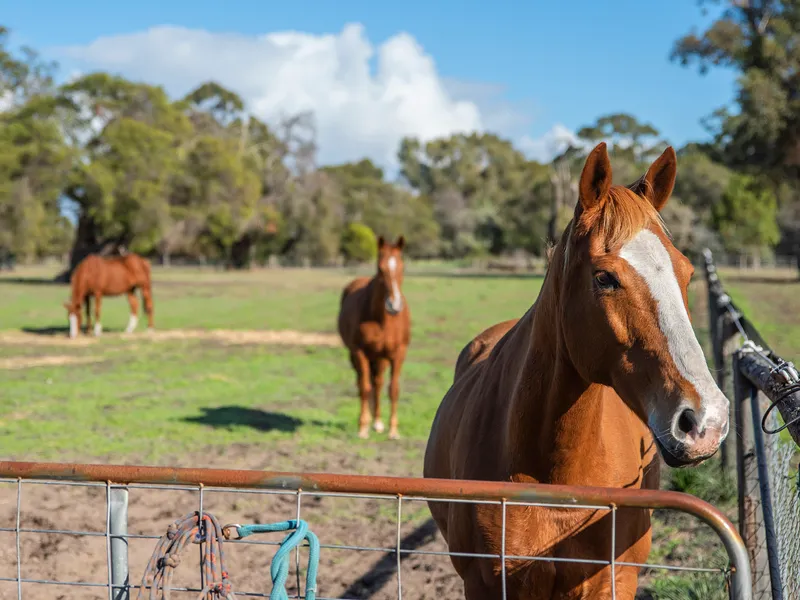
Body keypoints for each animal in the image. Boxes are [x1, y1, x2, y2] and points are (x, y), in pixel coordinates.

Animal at [338, 236, 411, 439]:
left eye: (401, 266)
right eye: (380, 268)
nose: (394, 305)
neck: (382, 320)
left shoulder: (398, 353)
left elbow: (393, 389)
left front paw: (393, 430)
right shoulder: (359, 353)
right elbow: (364, 388)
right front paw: (362, 427)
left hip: (381, 358)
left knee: (378, 383)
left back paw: (378, 422)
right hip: (358, 356)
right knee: (364, 383)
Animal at [423, 143, 730, 599]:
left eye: (687, 272)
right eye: (604, 277)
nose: (706, 421)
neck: (555, 481)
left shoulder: (611, 581)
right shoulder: (484, 583)